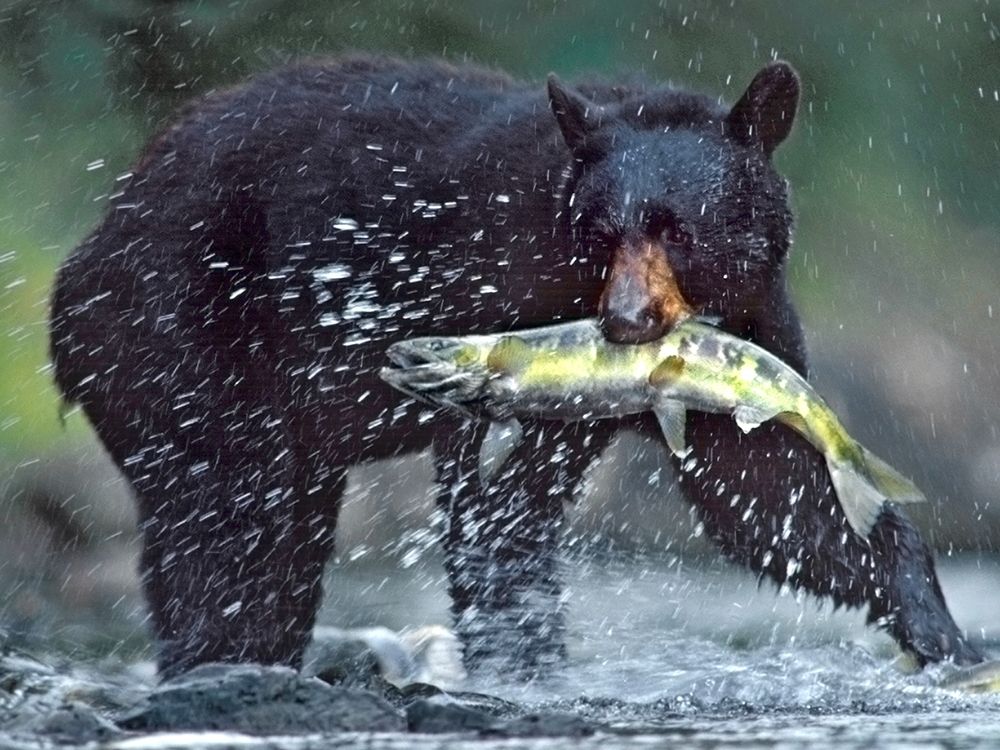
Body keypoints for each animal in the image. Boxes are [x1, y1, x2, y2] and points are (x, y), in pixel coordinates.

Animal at [49, 55, 983, 679]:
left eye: (678, 228)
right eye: (600, 231)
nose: (624, 324)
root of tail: (92, 241)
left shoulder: (749, 326)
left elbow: (769, 487)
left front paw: (940, 632)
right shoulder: (497, 289)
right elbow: (497, 503)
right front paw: (526, 664)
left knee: (281, 537)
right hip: (180, 337)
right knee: (226, 520)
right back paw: (217, 656)